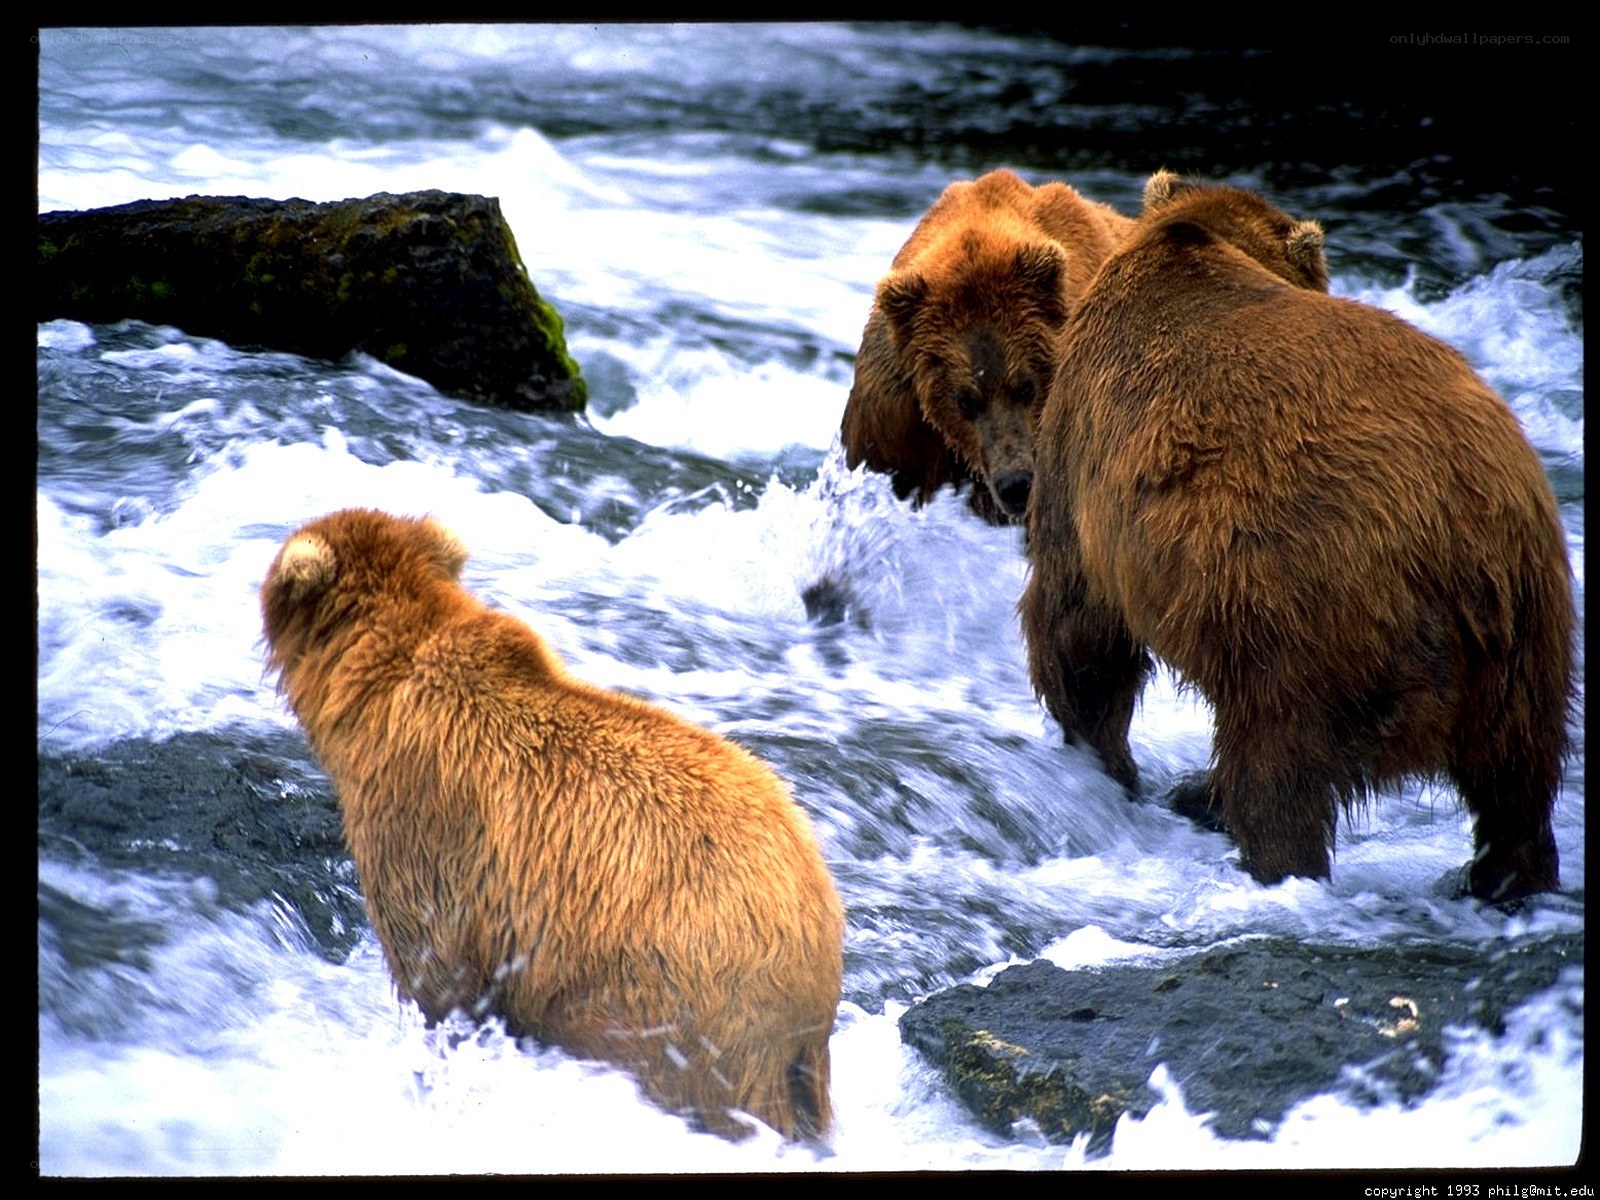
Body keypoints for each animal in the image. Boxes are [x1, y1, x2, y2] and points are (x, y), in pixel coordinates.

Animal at [1019, 171, 1574, 903]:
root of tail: (1457, 530)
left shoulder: (1083, 442)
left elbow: (1078, 620)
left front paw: (1103, 755)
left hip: (1304, 606)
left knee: (1278, 765)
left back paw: (1262, 854)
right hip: (1528, 618)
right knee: (1519, 776)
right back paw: (1502, 876)